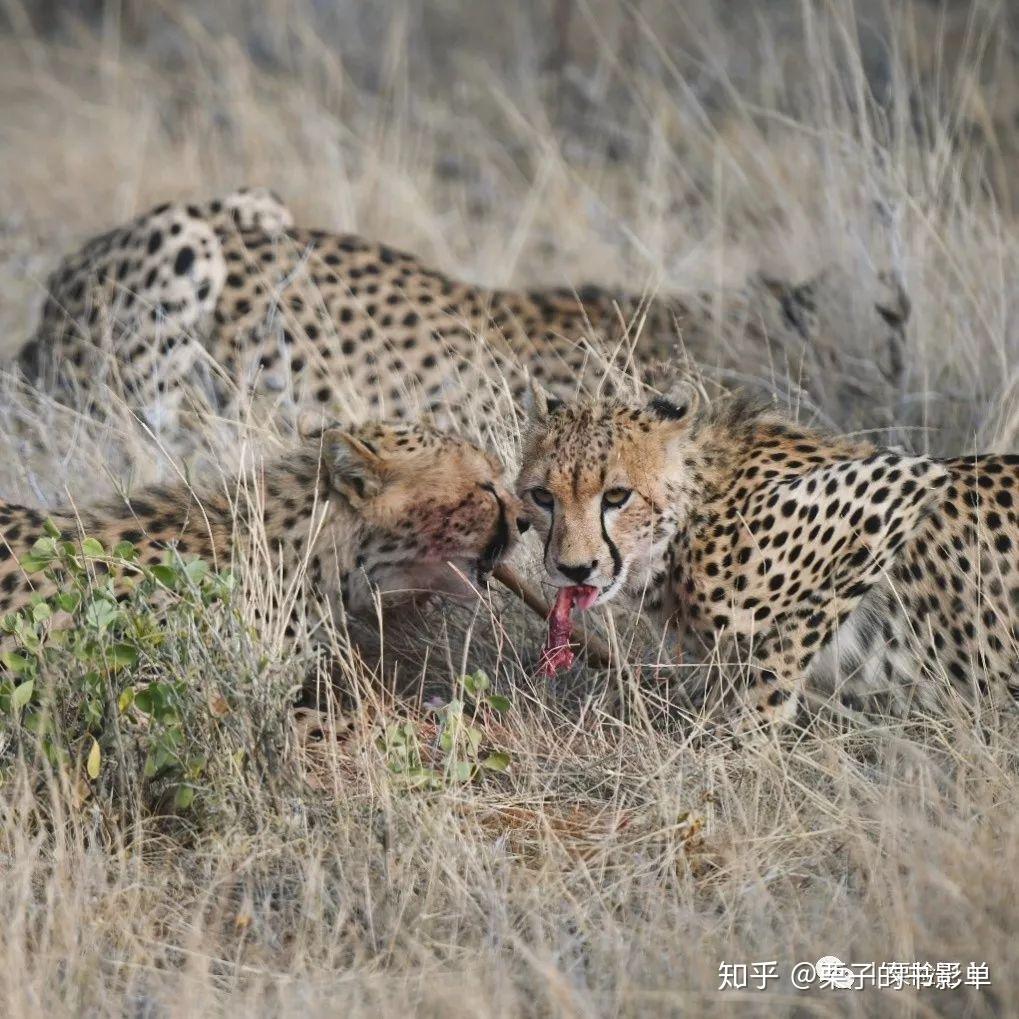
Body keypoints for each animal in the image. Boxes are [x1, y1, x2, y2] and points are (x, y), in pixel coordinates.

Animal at [517, 383, 1019, 733]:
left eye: (617, 496)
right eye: (543, 497)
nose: (573, 569)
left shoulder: (902, 481)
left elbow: (773, 669)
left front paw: (741, 753)